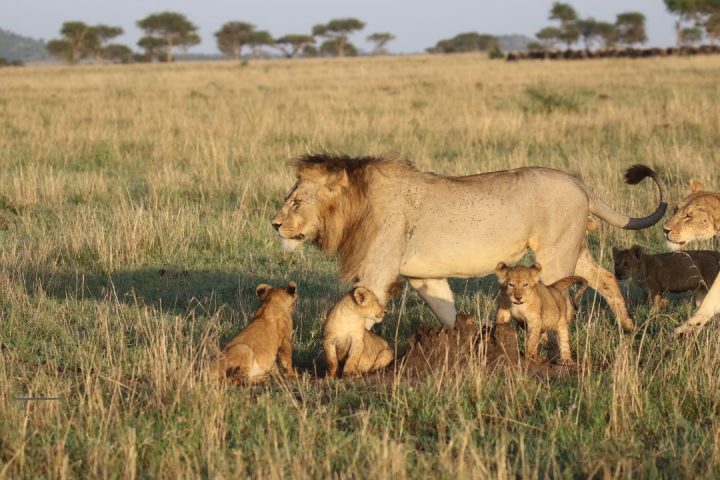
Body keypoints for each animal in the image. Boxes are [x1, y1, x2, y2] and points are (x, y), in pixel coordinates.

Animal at [272, 154, 668, 330]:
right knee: (606, 278)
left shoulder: (377, 271)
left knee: (562, 298)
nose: (275, 225)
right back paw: (628, 327)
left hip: (556, 255)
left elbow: (361, 313)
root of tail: (578, 183)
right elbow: (445, 310)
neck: (355, 205)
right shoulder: (425, 276)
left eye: (297, 201)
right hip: (573, 248)